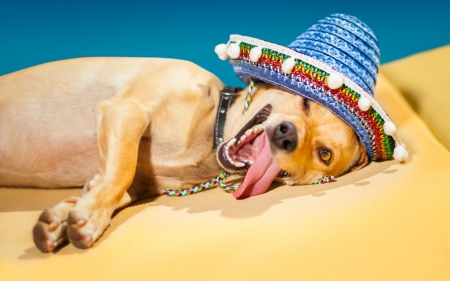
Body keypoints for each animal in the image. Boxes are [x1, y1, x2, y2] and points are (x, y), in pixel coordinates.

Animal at [0, 57, 366, 252]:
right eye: (304, 102)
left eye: (324, 154)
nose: (287, 134)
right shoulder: (126, 111)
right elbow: (119, 172)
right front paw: (85, 218)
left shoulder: (136, 182)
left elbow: (114, 184)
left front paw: (69, 218)